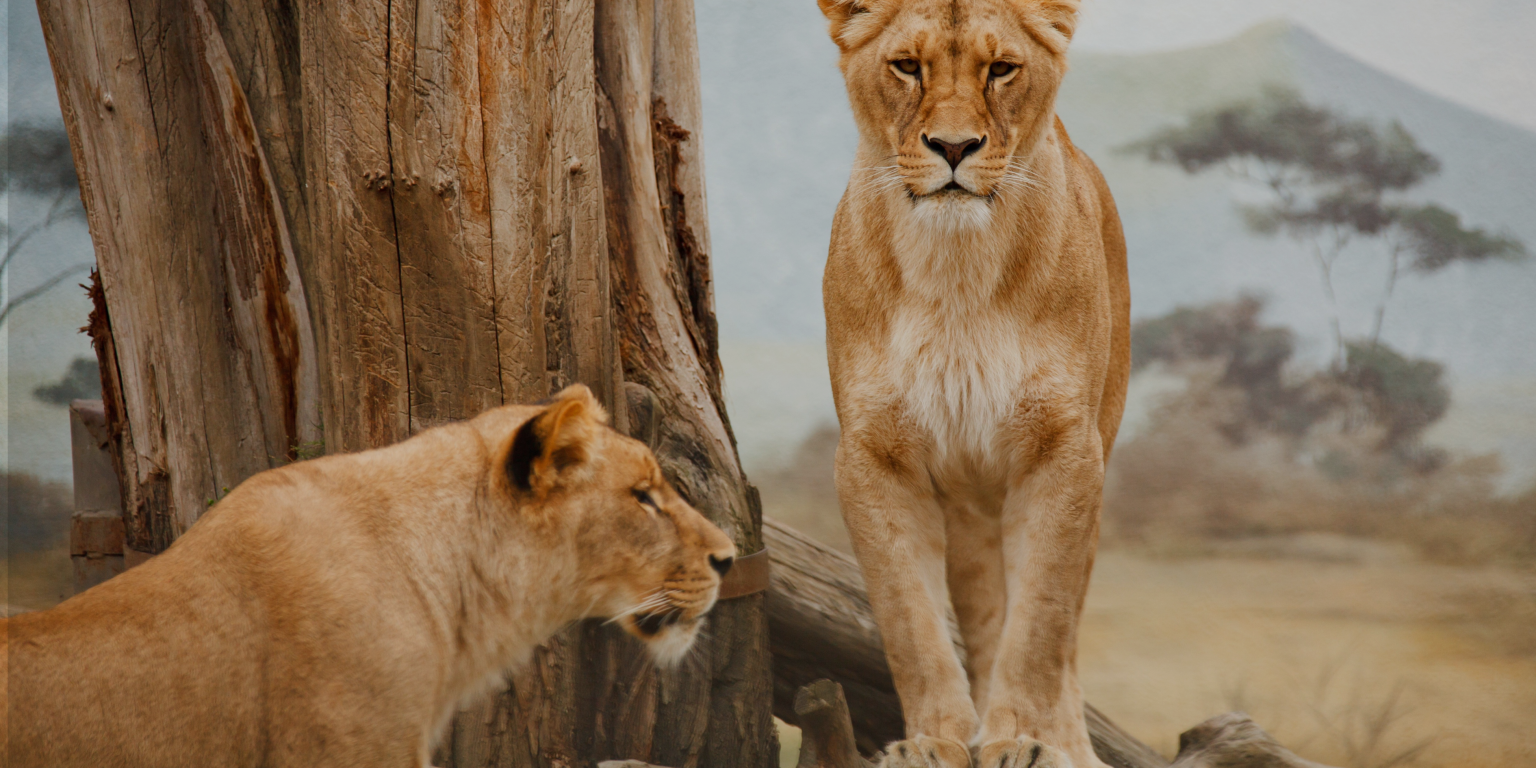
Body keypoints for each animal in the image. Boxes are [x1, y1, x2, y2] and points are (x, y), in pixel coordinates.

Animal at [816, 1, 1130, 766]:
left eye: (1002, 68)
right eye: (907, 65)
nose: (954, 147)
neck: (955, 268)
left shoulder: (1065, 450)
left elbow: (1041, 625)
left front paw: (1024, 740)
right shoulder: (873, 456)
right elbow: (910, 621)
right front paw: (933, 741)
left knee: (1061, 632)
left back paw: (1067, 744)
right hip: (968, 503)